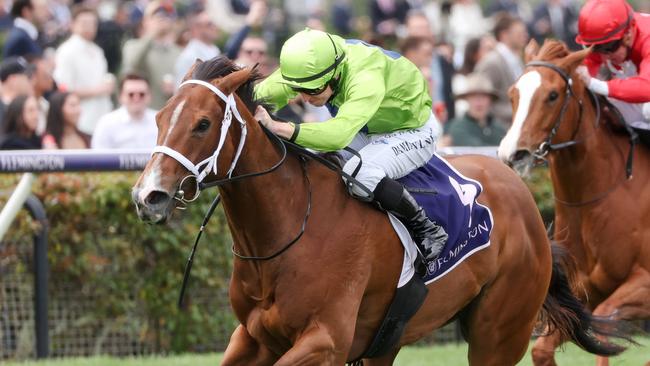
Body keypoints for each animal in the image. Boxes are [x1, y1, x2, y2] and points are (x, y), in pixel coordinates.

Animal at [134, 57, 624, 366]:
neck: (286, 232)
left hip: (499, 333)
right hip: (389, 338)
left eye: (201, 124)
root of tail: (521, 194)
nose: (147, 197)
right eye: (159, 117)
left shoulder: (326, 341)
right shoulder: (253, 338)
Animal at [498, 38, 644, 364]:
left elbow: (607, 324)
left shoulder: (643, 282)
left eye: (553, 95)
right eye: (513, 94)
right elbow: (541, 349)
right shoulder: (581, 291)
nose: (513, 154)